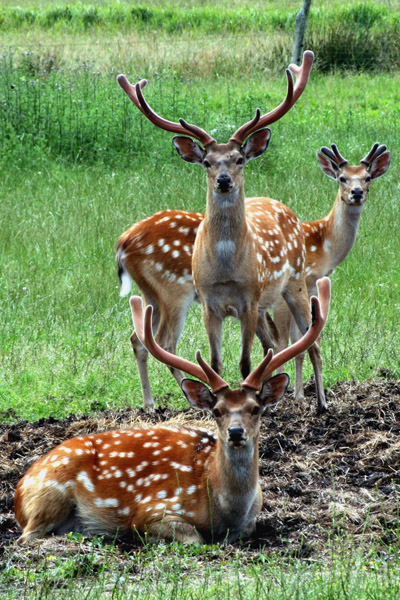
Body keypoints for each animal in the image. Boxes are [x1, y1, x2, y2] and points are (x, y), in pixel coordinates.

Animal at [14, 278, 330, 548]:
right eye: (216, 411)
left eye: (256, 408)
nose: (236, 431)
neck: (223, 508)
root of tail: (19, 491)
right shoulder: (153, 507)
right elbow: (193, 537)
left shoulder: (252, 520)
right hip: (50, 494)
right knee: (27, 537)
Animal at [116, 51, 328, 412]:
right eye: (207, 162)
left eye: (239, 158)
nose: (224, 180)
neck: (226, 269)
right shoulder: (208, 303)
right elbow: (215, 363)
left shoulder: (249, 301)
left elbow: (246, 362)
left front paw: (250, 397)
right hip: (168, 295)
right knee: (157, 341)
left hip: (296, 280)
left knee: (309, 340)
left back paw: (322, 403)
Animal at [118, 141, 390, 408]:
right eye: (342, 178)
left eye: (367, 177)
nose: (357, 193)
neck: (324, 246)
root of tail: (124, 241)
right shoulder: (292, 287)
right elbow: (290, 342)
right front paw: (296, 396)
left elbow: (289, 342)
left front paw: (293, 394)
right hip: (174, 292)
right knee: (165, 343)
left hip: (151, 295)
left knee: (138, 339)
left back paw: (150, 404)